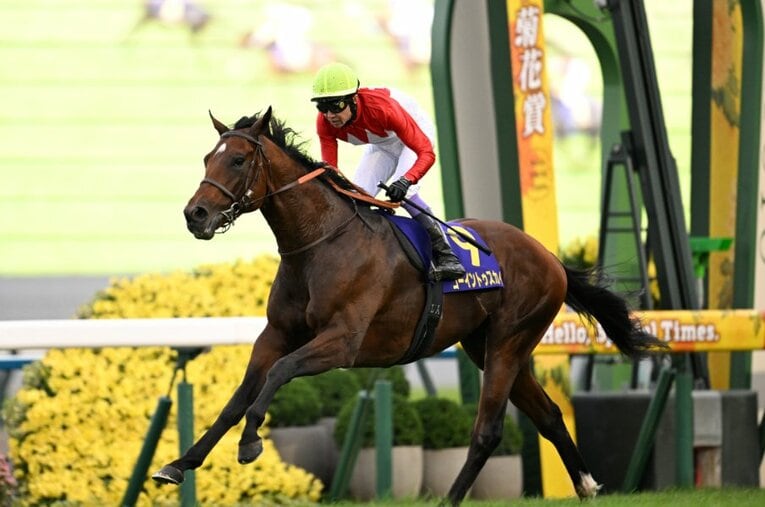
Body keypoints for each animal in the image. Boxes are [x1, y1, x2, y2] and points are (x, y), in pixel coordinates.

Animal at [152, 107, 667, 505]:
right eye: (208, 158)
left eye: (238, 159)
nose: (195, 214)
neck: (319, 243)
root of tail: (550, 258)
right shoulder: (275, 334)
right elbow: (237, 398)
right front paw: (179, 464)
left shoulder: (343, 342)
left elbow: (279, 374)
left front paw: (250, 442)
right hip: (491, 347)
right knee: (550, 416)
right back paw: (586, 485)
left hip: (509, 340)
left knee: (487, 431)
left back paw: (452, 498)